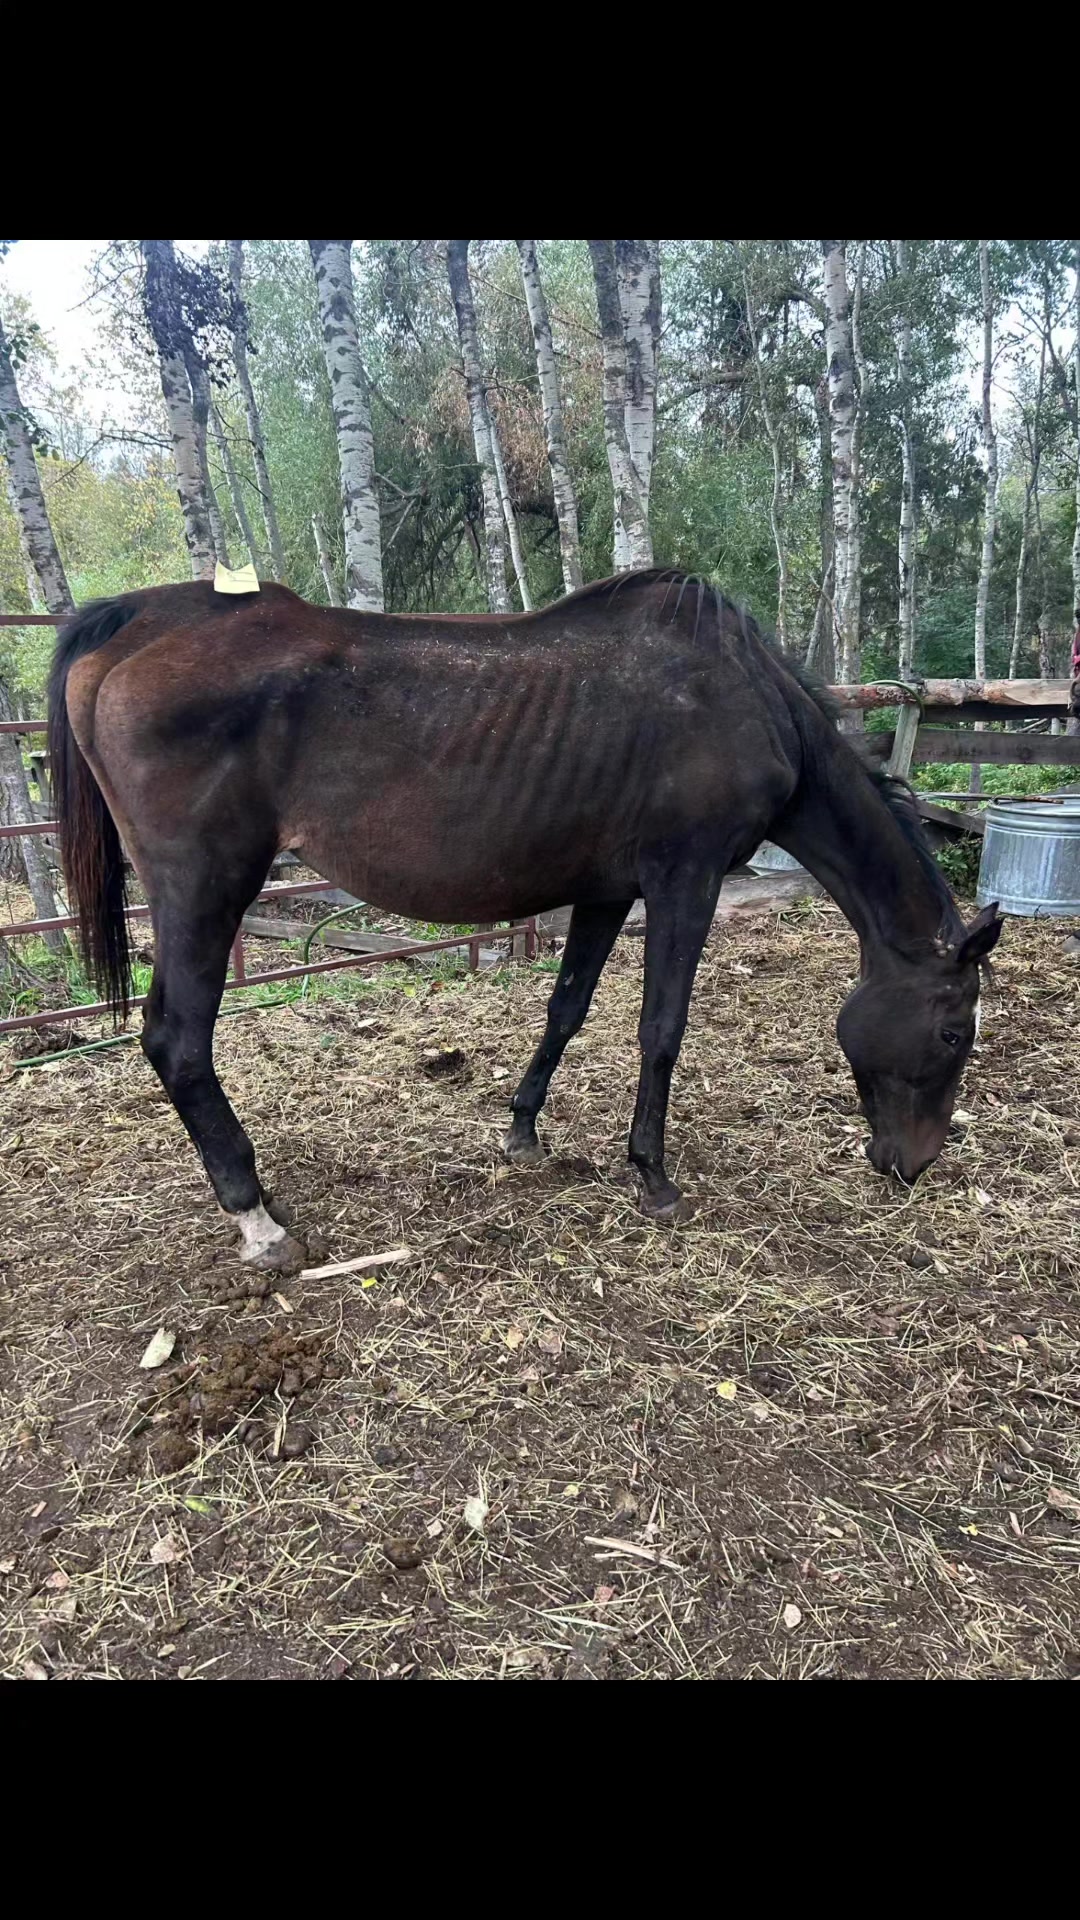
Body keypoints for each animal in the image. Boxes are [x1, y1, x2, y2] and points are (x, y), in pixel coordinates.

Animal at [47, 568, 1002, 1272]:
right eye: (954, 1033)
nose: (913, 1163)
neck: (752, 702)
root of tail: (141, 621)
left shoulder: (608, 891)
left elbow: (567, 1009)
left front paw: (523, 1131)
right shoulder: (683, 881)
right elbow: (662, 1028)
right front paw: (652, 1175)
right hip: (204, 890)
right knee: (177, 1040)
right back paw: (257, 1219)